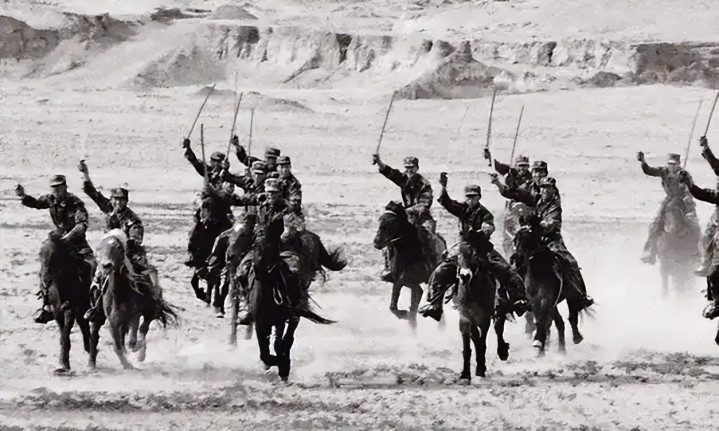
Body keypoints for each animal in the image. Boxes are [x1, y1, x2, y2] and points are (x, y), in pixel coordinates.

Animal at [39, 232, 99, 374]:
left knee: (94, 331)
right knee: (85, 329)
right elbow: (63, 335)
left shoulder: (70, 311)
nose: (45, 281)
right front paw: (63, 363)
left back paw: (92, 360)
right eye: (40, 254)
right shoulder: (57, 313)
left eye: (55, 255)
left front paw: (62, 365)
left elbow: (66, 334)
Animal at [94, 229, 177, 368]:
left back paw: (140, 354)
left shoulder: (135, 315)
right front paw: (127, 364)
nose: (106, 266)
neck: (120, 295)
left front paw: (134, 351)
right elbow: (117, 346)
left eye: (118, 248)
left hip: (151, 311)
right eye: (99, 248)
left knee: (144, 329)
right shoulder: (113, 322)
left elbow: (133, 337)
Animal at [248, 214, 333, 381]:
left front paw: (283, 366)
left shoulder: (281, 321)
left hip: (292, 318)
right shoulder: (260, 324)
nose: (259, 268)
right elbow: (264, 351)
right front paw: (272, 363)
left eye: (271, 245)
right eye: (255, 244)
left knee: (287, 339)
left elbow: (280, 344)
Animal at [453, 234, 510, 381]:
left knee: (499, 328)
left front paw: (480, 369)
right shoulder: (465, 317)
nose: (465, 275)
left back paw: (503, 351)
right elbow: (469, 345)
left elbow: (482, 341)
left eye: (475, 255)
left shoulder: (485, 318)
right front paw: (465, 373)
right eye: (458, 255)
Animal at [514, 214, 585, 355]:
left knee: (571, 317)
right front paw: (540, 346)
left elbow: (544, 320)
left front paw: (538, 340)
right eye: (516, 237)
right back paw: (558, 349)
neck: (539, 270)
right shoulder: (534, 299)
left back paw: (576, 338)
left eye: (528, 236)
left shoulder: (547, 298)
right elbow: (541, 319)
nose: (517, 259)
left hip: (570, 295)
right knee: (558, 322)